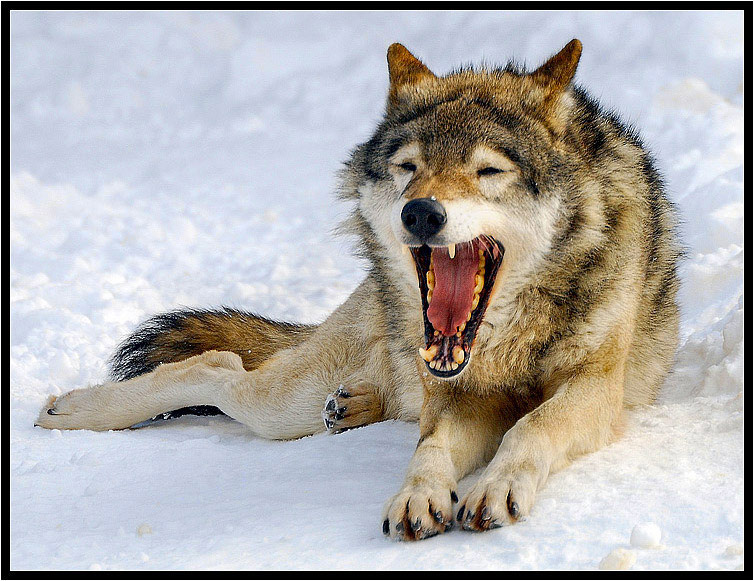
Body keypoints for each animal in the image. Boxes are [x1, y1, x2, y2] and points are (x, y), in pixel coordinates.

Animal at [36, 39, 680, 541]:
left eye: (489, 171)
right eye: (407, 167)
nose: (420, 212)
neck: (506, 338)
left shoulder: (596, 388)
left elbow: (533, 425)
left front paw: (496, 486)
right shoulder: (459, 397)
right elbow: (430, 447)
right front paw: (418, 494)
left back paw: (353, 405)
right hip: (282, 404)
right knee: (218, 365)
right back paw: (76, 408)